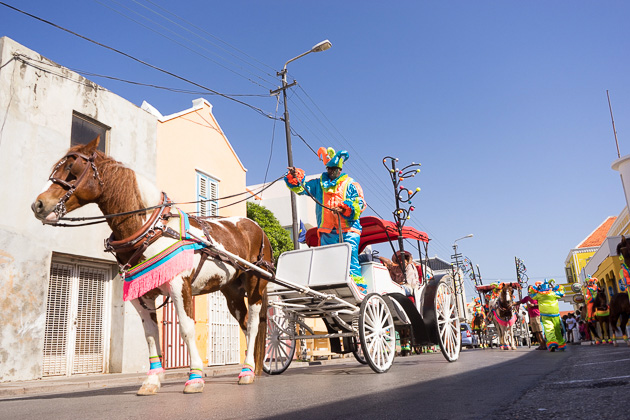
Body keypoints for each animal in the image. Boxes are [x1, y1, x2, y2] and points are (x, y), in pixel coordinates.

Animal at [30, 137, 272, 394]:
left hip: (256, 284)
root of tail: (257, 228)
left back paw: (247, 371)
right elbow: (150, 334)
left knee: (253, 326)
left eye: (72, 169)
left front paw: (195, 376)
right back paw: (247, 368)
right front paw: (153, 380)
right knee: (244, 324)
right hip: (232, 292)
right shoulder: (142, 294)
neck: (151, 229)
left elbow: (186, 329)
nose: (38, 205)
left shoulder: (179, 286)